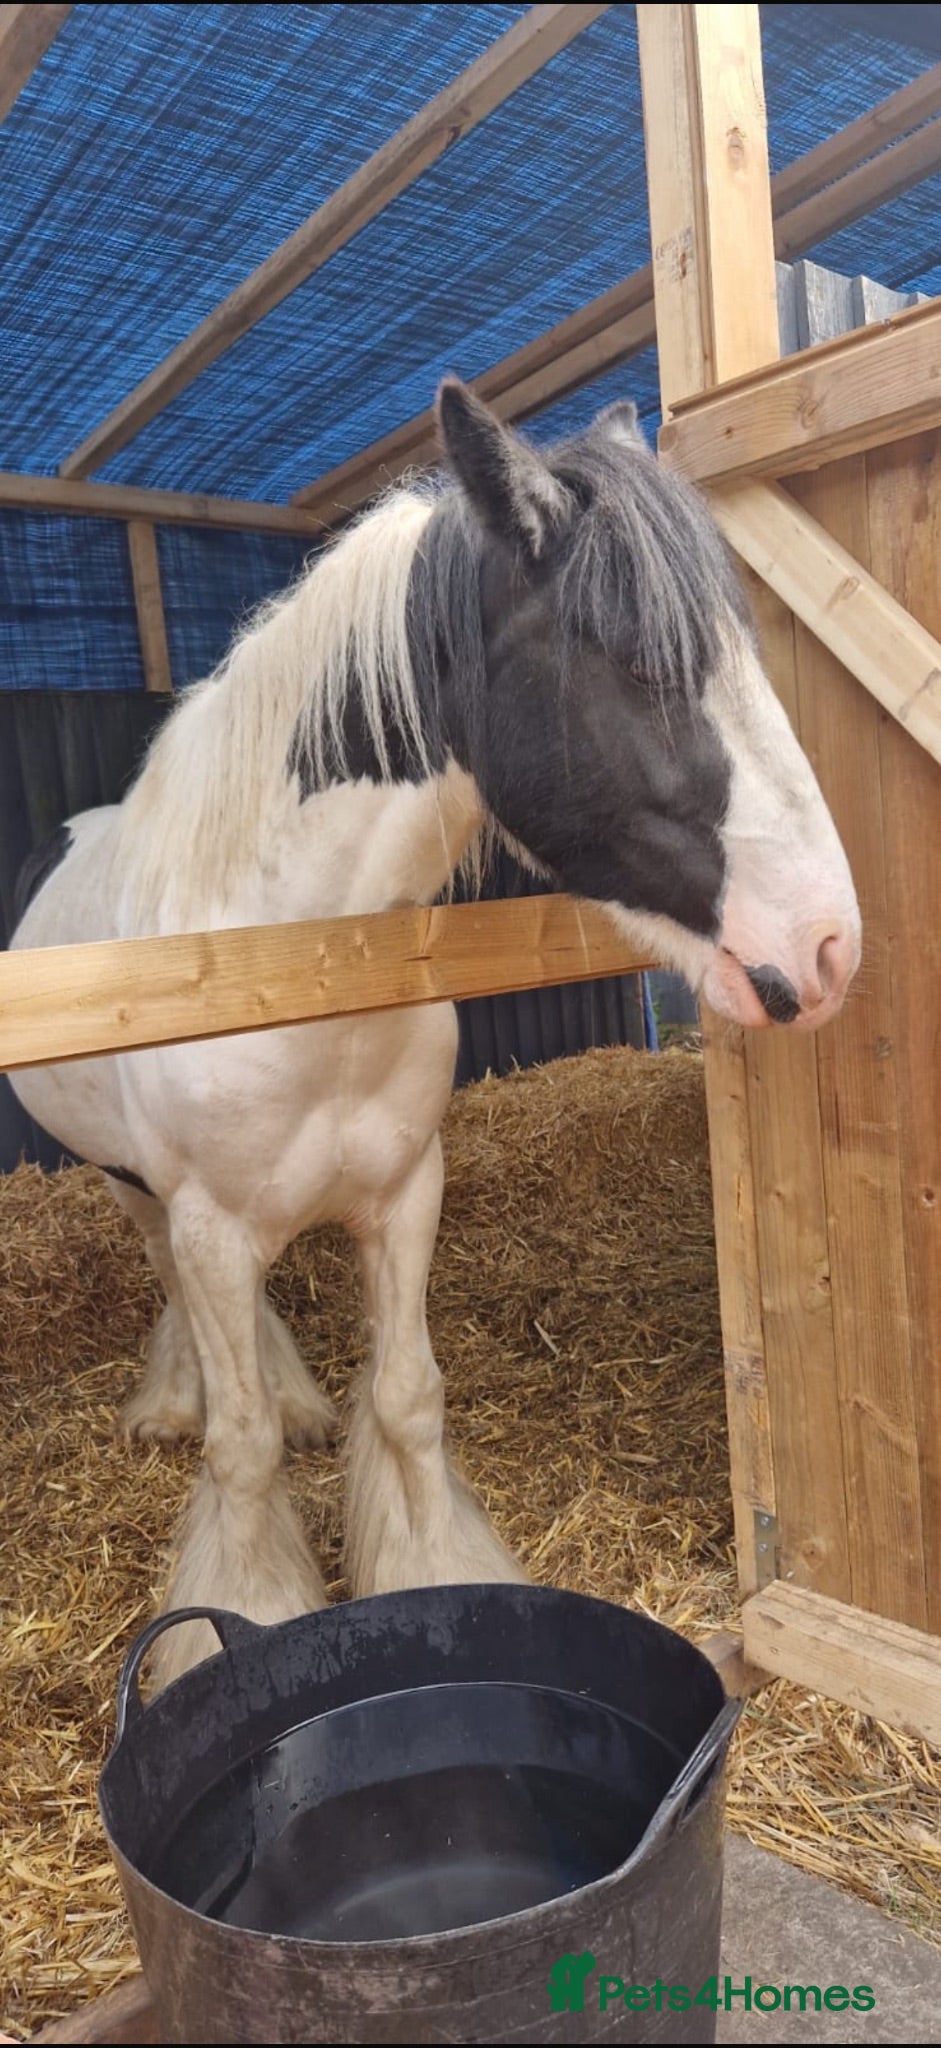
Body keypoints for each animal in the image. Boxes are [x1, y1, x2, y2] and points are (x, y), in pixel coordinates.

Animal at [8, 381, 861, 1687]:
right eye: (638, 662)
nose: (826, 946)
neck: (295, 968)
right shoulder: (210, 1226)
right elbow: (242, 1449)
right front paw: (230, 1616)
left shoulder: (407, 1190)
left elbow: (407, 1397)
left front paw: (427, 1575)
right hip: (129, 1187)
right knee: (175, 1298)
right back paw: (176, 1401)